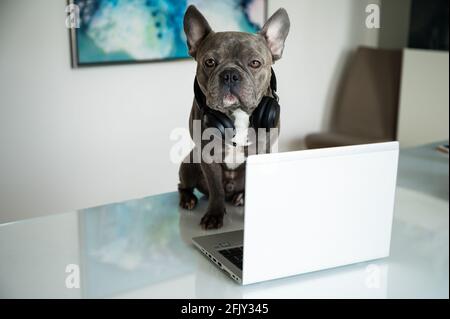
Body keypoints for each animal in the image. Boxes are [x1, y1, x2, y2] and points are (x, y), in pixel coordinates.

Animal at [178, 5, 290, 230]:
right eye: (209, 62)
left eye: (255, 63)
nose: (230, 74)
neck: (237, 113)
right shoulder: (207, 155)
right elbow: (216, 189)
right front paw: (214, 215)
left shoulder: (262, 151)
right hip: (188, 164)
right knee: (183, 186)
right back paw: (188, 199)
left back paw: (241, 197)